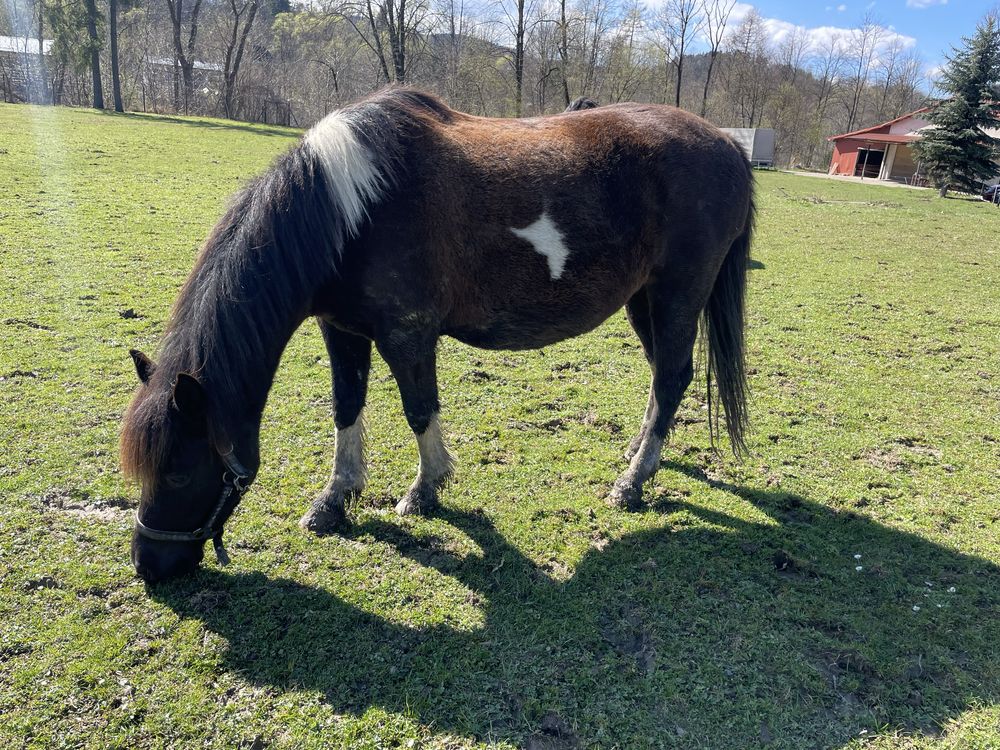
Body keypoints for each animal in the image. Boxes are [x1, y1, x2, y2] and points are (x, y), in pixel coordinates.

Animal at [121, 86, 752, 580]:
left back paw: (633, 481)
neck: (353, 208)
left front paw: (425, 490)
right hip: (643, 300)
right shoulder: (341, 330)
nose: (150, 567)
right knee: (664, 376)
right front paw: (335, 499)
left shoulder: (407, 335)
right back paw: (639, 454)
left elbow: (419, 409)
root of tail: (727, 146)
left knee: (672, 377)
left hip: (677, 294)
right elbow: (346, 408)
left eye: (178, 471)